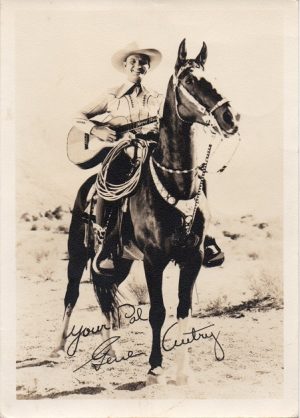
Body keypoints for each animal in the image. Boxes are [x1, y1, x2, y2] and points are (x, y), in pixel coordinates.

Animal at [51, 40, 239, 386]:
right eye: (189, 80)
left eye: (212, 77)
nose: (229, 117)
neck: (177, 185)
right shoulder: (154, 260)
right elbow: (157, 312)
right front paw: (154, 368)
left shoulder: (192, 259)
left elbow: (183, 310)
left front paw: (183, 371)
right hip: (78, 253)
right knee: (72, 293)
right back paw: (58, 349)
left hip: (119, 261)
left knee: (105, 294)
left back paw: (110, 350)